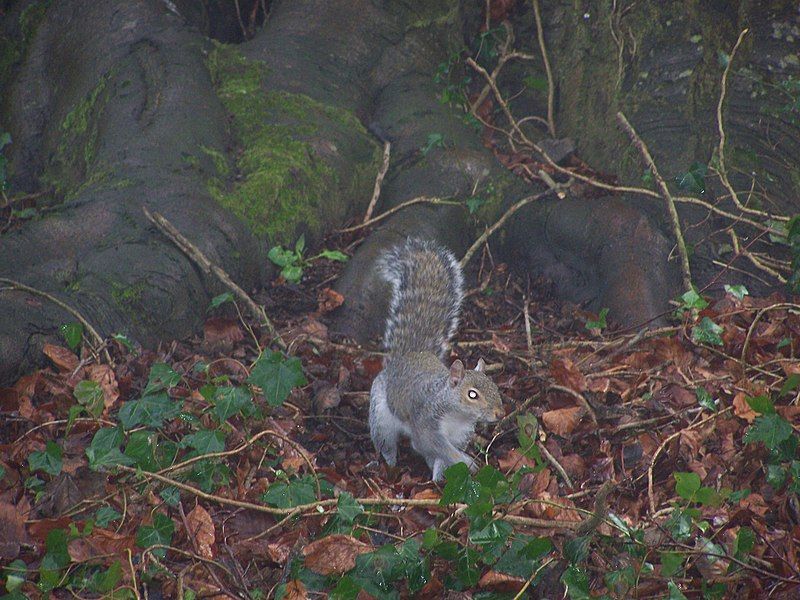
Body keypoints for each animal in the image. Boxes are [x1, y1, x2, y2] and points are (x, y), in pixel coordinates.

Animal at [368, 237, 504, 480]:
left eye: (496, 388)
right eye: (472, 394)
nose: (500, 413)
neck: (457, 416)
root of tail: (410, 356)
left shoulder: (460, 435)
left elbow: (442, 457)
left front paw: (442, 476)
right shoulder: (426, 425)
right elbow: (437, 447)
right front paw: (467, 462)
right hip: (380, 414)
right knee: (385, 442)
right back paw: (390, 463)